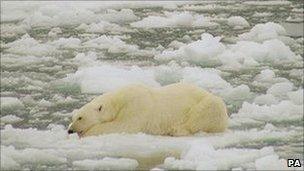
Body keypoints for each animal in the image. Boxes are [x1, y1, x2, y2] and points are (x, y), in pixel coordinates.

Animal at [67, 82, 228, 137]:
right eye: (73, 117)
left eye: (80, 117)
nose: (70, 130)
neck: (119, 101)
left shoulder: (137, 106)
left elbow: (123, 126)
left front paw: (86, 133)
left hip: (209, 105)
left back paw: (176, 129)